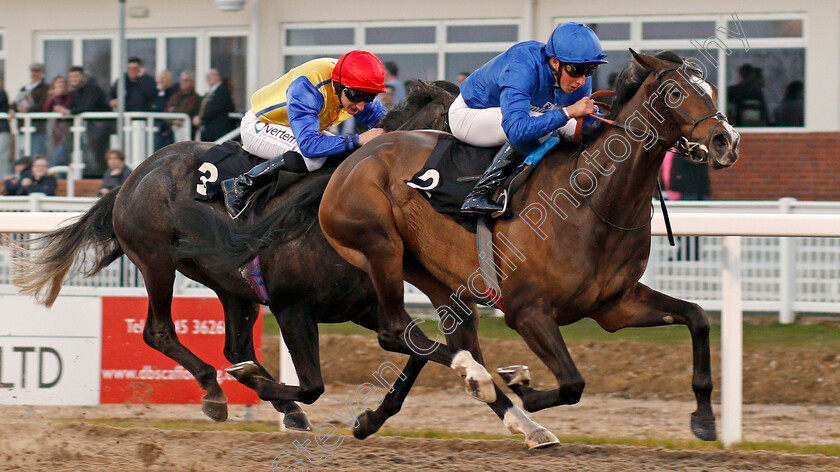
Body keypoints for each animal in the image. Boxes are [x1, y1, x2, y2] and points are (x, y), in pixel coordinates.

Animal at [11, 81, 556, 450]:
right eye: (468, 124)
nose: (513, 166)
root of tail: (134, 174)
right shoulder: (295, 308)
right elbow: (316, 383)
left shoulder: (366, 307)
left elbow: (420, 352)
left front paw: (524, 422)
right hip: (156, 261)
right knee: (160, 331)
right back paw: (217, 391)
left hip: (231, 287)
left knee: (233, 343)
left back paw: (264, 396)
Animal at [318, 49, 740, 440]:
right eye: (675, 92)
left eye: (712, 89)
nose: (727, 141)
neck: (591, 199)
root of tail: (358, 155)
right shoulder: (527, 310)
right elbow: (572, 383)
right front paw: (520, 382)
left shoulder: (616, 305)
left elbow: (698, 317)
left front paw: (704, 418)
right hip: (381, 248)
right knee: (396, 333)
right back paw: (479, 380)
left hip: (435, 276)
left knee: (448, 339)